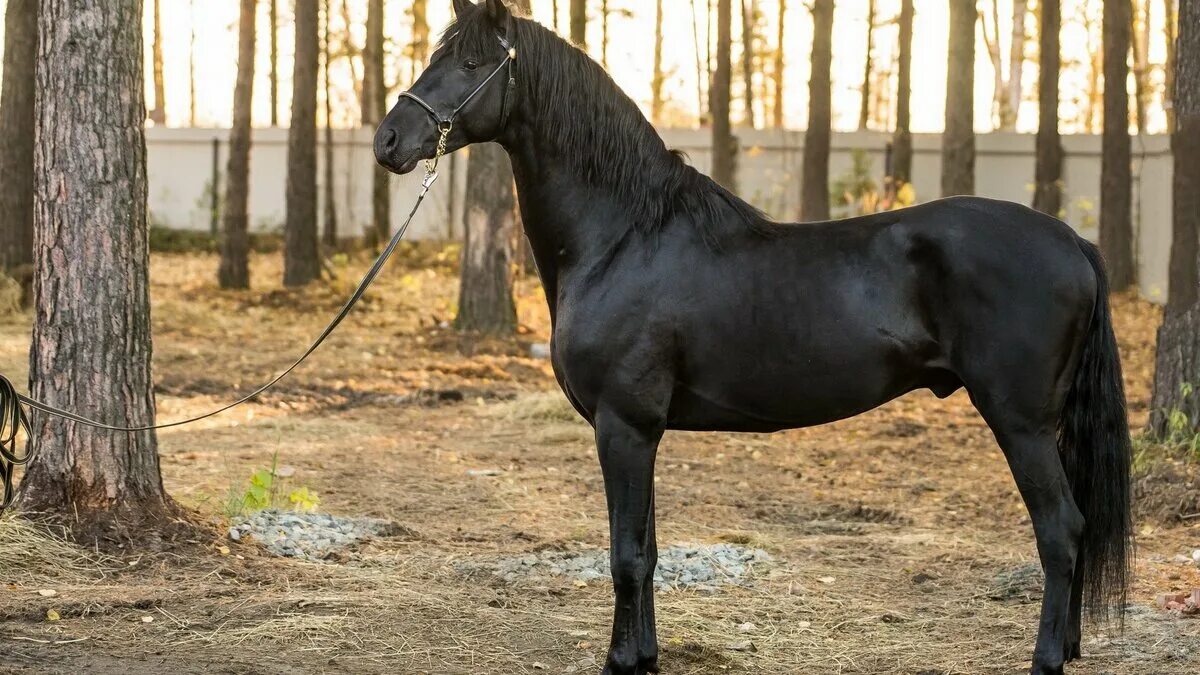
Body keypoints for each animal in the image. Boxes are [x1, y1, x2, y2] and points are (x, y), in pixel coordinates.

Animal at [376, 2, 1132, 667]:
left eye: (471, 61)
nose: (389, 140)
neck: (624, 236)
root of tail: (1071, 240)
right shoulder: (642, 429)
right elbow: (649, 551)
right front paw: (646, 656)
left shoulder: (622, 424)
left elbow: (625, 555)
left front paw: (620, 661)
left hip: (1020, 421)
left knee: (1061, 530)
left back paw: (1046, 658)